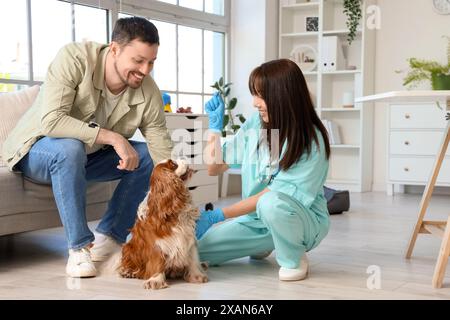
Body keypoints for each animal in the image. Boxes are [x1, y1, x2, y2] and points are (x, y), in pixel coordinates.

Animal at [107, 159, 207, 288]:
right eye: (173, 164)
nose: (184, 158)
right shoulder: (157, 243)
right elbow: (157, 261)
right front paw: (155, 280)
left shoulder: (189, 237)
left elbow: (193, 258)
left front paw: (197, 276)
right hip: (128, 248)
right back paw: (128, 272)